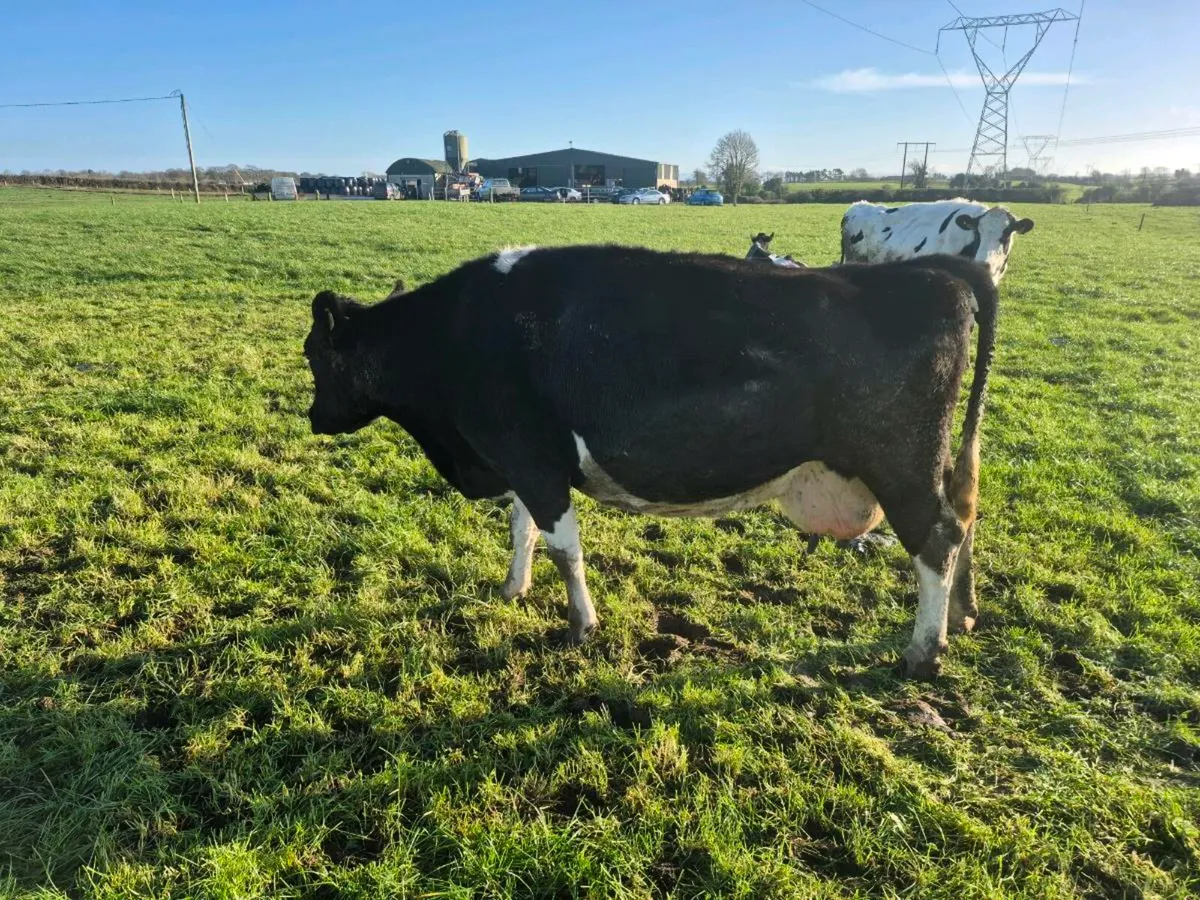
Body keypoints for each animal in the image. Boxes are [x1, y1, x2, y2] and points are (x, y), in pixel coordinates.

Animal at [304, 245, 999, 679]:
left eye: (313, 354)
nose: (313, 417)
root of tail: (927, 272)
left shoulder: (532, 461)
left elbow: (564, 549)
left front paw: (580, 626)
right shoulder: (523, 463)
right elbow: (522, 530)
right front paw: (512, 589)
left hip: (900, 464)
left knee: (937, 540)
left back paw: (923, 652)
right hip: (935, 462)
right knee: (963, 518)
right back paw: (961, 617)